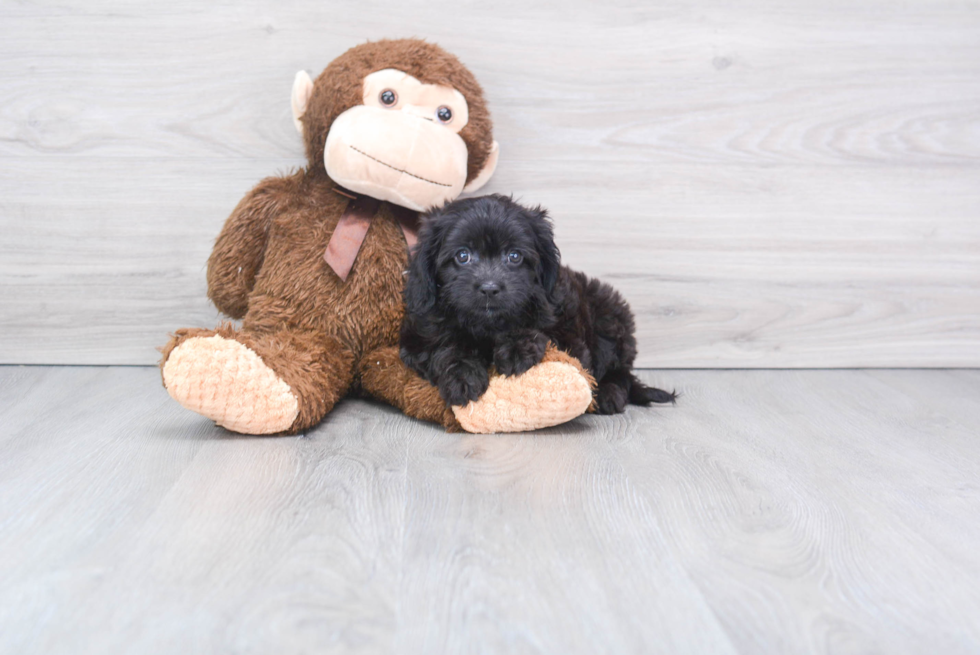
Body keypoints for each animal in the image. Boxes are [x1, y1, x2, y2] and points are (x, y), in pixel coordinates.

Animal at [398, 192, 672, 416]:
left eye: (514, 256)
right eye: (462, 256)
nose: (489, 288)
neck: (487, 326)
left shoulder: (568, 332)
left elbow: (547, 336)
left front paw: (517, 347)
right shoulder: (417, 337)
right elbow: (443, 348)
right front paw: (461, 377)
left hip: (609, 314)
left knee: (619, 371)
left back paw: (608, 395)